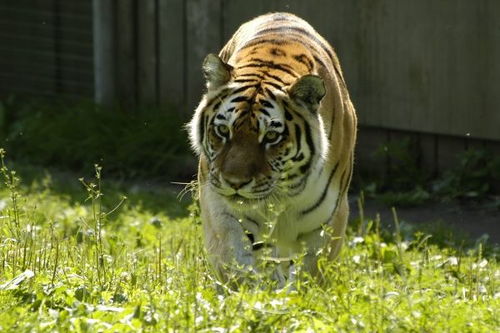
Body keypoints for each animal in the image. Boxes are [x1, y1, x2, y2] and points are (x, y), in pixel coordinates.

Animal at [188, 11, 356, 284]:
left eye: (271, 137)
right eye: (223, 131)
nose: (234, 182)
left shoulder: (328, 219)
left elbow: (310, 272)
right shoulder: (219, 204)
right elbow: (234, 257)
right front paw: (247, 292)